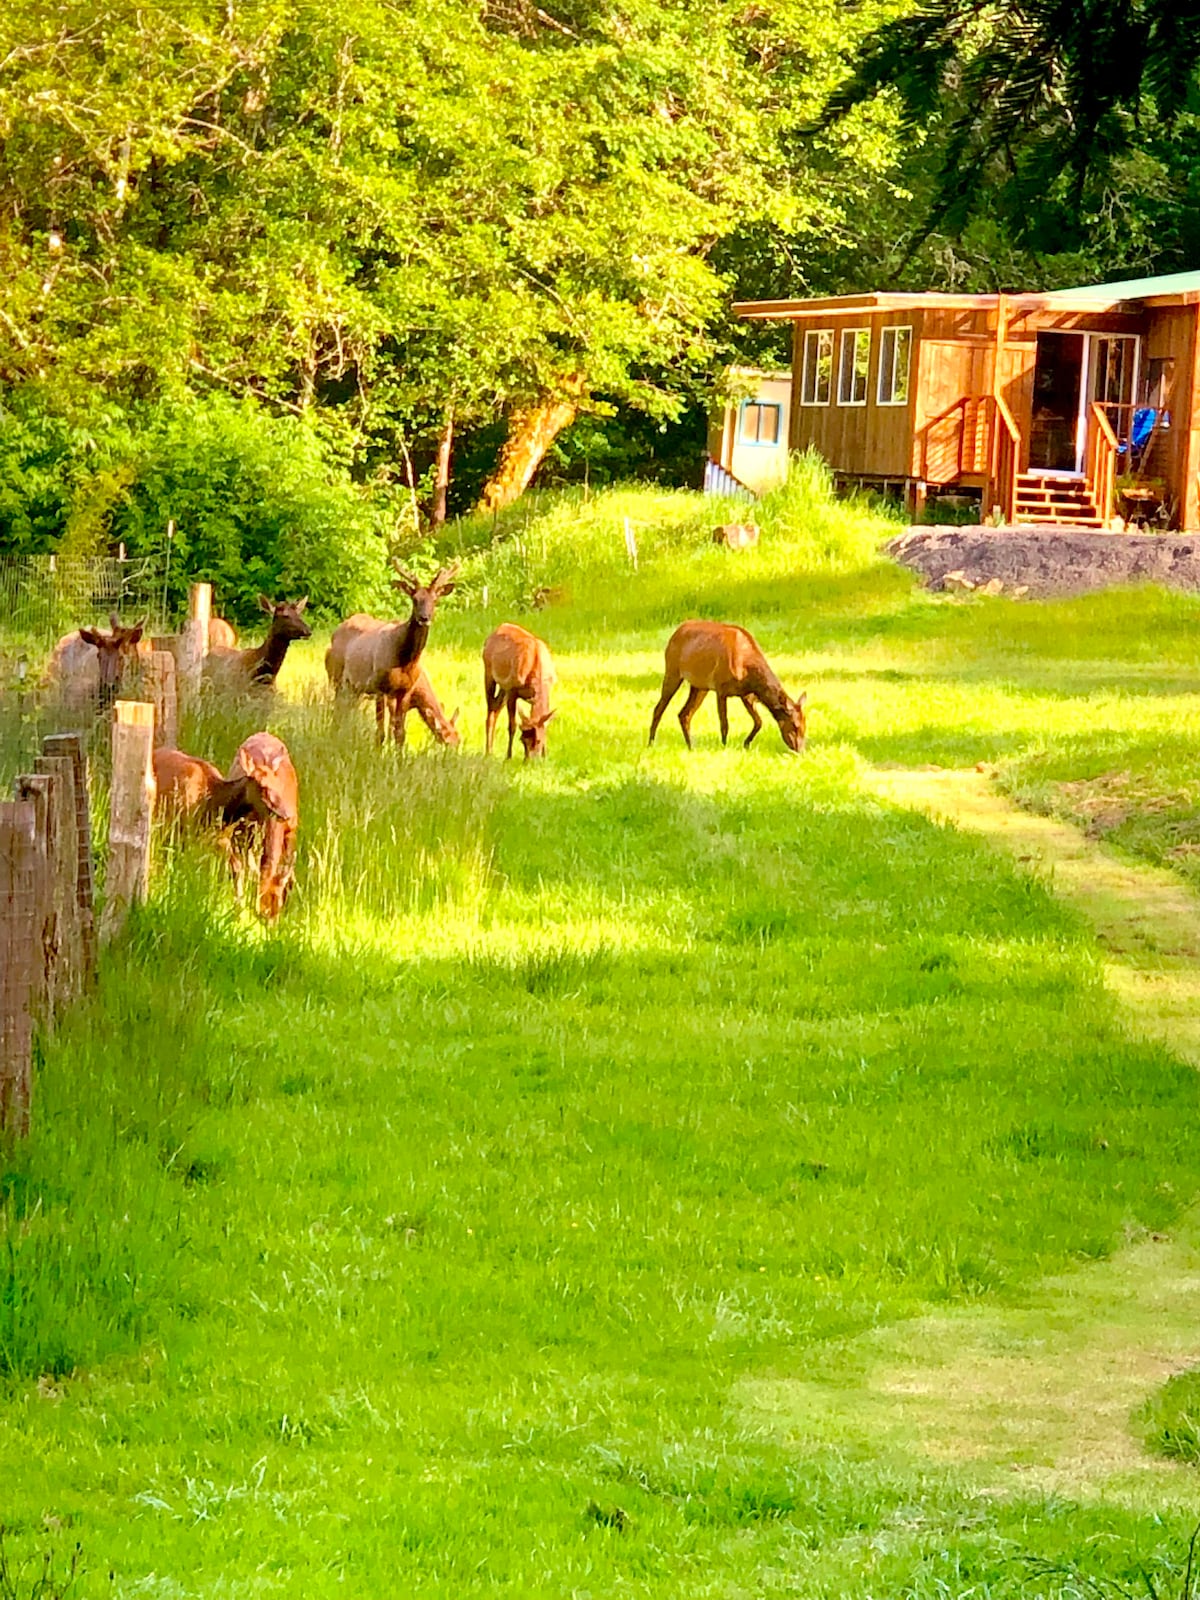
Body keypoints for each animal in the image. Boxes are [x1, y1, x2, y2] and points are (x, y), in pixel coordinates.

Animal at [324, 563, 460, 742]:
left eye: (435, 599)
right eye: (415, 599)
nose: (424, 618)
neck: (406, 662)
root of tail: (337, 630)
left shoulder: (404, 692)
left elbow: (400, 733)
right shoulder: (380, 687)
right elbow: (381, 732)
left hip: (353, 687)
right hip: (337, 678)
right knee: (337, 711)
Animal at [483, 620, 556, 758]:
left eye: (538, 740)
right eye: (522, 740)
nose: (529, 760)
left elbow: (546, 722)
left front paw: (546, 756)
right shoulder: (513, 690)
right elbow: (512, 725)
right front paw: (508, 756)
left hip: (503, 687)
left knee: (495, 708)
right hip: (489, 672)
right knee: (490, 710)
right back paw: (488, 751)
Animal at [649, 620, 809, 752]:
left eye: (805, 725)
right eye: (795, 725)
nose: (800, 750)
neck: (747, 671)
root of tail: (675, 633)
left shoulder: (746, 694)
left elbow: (758, 722)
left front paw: (746, 743)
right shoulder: (721, 688)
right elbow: (724, 724)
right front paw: (724, 746)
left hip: (700, 686)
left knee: (684, 714)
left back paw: (691, 746)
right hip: (673, 671)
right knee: (658, 708)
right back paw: (650, 743)